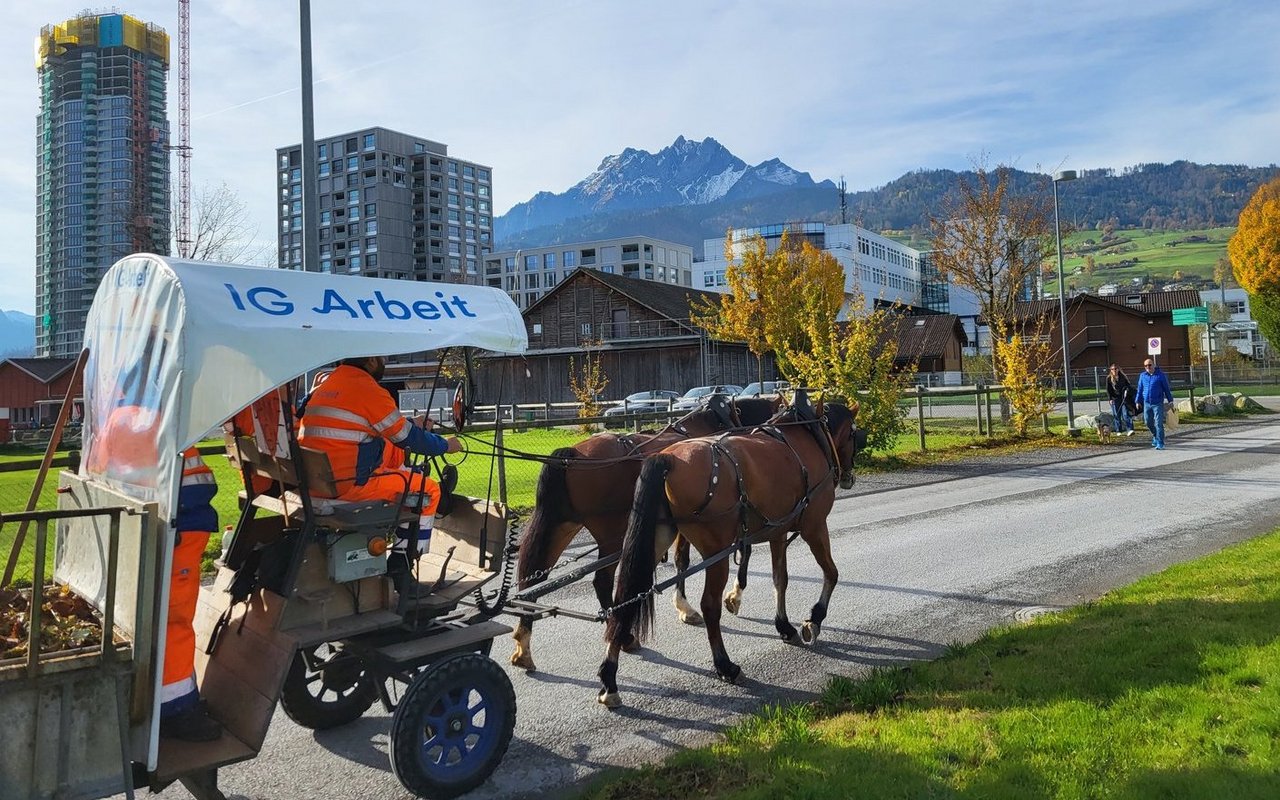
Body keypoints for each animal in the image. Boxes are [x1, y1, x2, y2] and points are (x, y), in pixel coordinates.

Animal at [511, 395, 783, 671]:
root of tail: (572, 454)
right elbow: (689, 560)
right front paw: (710, 602)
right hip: (610, 534)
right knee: (601, 581)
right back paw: (624, 636)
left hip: (563, 526)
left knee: (532, 578)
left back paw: (523, 645)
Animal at [597, 398, 859, 708]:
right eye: (853, 434)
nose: (849, 477)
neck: (805, 435)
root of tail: (668, 459)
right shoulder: (814, 526)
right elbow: (831, 572)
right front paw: (813, 620)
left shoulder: (778, 532)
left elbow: (780, 580)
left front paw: (784, 626)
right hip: (718, 551)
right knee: (709, 606)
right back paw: (725, 665)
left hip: (657, 539)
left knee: (624, 600)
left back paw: (609, 678)